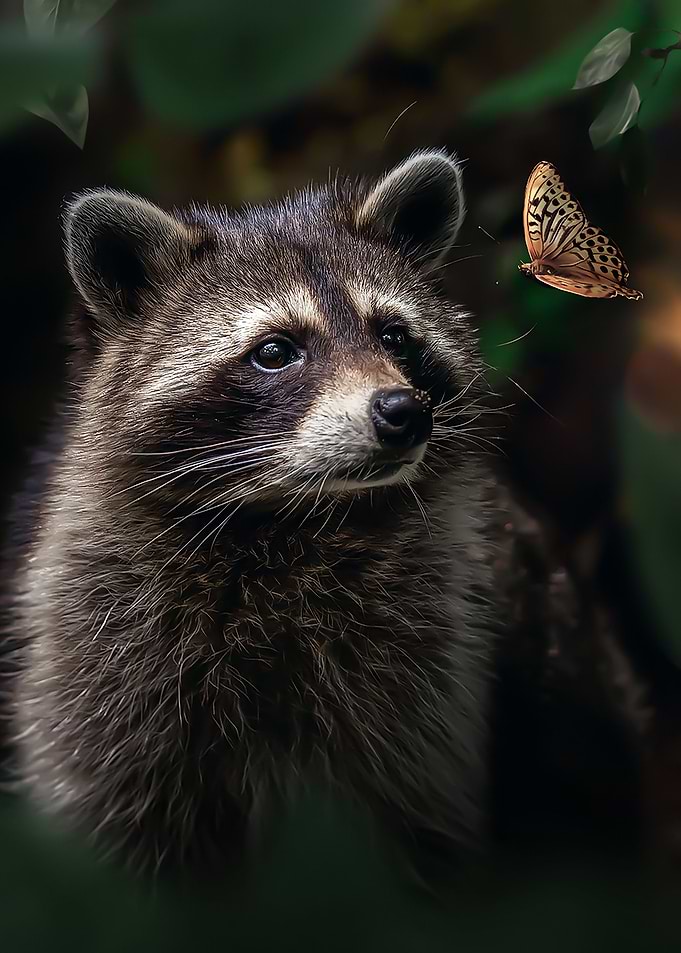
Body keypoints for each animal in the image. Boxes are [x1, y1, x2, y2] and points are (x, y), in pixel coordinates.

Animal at [7, 150, 502, 881]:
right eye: (274, 351)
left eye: (394, 335)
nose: (403, 412)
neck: (292, 519)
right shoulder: (97, 656)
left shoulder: (423, 671)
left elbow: (412, 812)